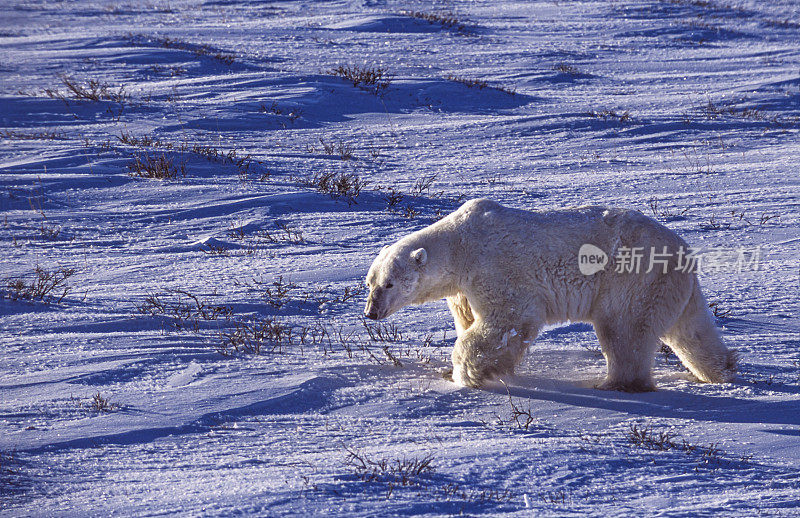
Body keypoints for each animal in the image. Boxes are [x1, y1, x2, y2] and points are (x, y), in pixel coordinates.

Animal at [364, 199, 736, 394]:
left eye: (389, 285)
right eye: (370, 284)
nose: (371, 313)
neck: (460, 245)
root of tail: (682, 250)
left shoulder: (494, 268)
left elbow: (508, 320)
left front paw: (468, 373)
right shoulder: (462, 290)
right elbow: (469, 319)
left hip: (632, 279)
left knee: (623, 329)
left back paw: (615, 383)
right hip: (670, 286)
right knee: (692, 329)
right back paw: (720, 370)